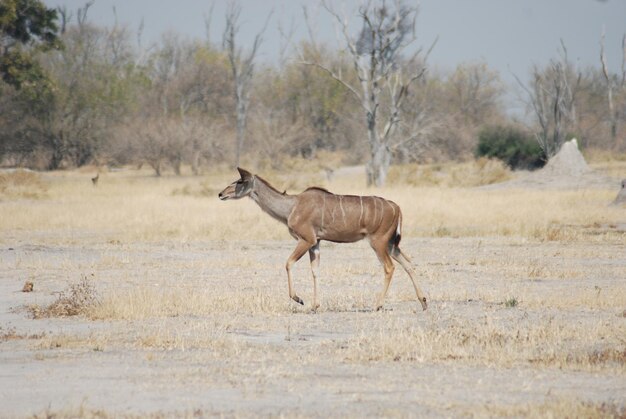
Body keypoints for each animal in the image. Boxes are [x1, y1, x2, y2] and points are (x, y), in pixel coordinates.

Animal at [217, 167, 426, 312]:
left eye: (239, 181)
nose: (221, 193)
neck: (291, 206)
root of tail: (396, 207)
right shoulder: (316, 243)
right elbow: (315, 270)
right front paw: (315, 306)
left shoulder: (306, 239)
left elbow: (288, 263)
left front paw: (299, 299)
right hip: (391, 244)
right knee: (409, 264)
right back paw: (423, 302)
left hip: (378, 242)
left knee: (389, 267)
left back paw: (378, 305)